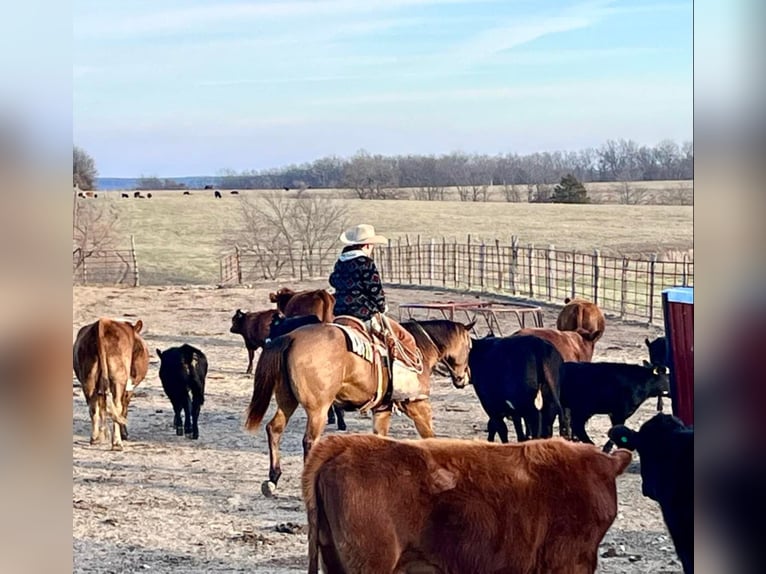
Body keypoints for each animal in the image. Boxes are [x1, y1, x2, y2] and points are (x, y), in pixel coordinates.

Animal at [72, 320, 150, 450]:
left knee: (93, 406)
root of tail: (102, 324)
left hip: (88, 377)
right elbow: (124, 408)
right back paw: (117, 443)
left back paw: (95, 438)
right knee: (117, 406)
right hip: (118, 378)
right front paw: (123, 434)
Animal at [244, 318, 474, 498]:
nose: (465, 377)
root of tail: (290, 337)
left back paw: (273, 479)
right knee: (309, 441)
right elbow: (430, 437)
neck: (421, 348)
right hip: (318, 409)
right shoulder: (417, 404)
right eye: (470, 347)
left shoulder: (382, 409)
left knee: (274, 429)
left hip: (287, 400)